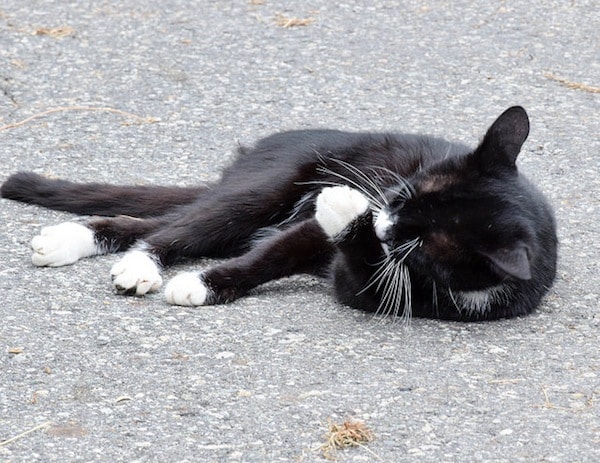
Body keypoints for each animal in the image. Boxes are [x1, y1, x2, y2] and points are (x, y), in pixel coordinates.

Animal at [2, 106, 560, 320]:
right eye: (403, 195)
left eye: (417, 242)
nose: (381, 216)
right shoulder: (310, 228)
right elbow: (271, 255)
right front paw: (202, 284)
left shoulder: (375, 291)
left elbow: (352, 273)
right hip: (263, 190)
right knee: (177, 227)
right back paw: (129, 259)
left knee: (157, 224)